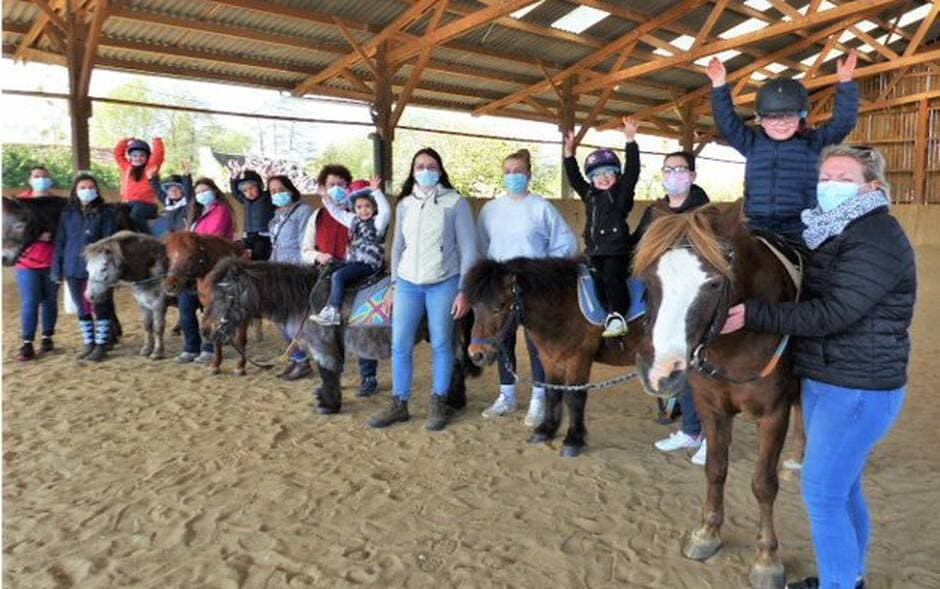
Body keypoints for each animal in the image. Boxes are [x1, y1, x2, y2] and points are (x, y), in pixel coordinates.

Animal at [163, 232, 248, 374]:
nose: (170, 285)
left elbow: (241, 339)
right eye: (169, 256)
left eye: (190, 256)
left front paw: (240, 367)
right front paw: (215, 366)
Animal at [464, 258, 648, 460]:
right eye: (474, 308)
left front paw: (573, 440)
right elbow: (552, 392)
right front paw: (545, 430)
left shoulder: (578, 359)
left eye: (499, 307)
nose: (476, 354)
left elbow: (574, 397)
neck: (565, 306)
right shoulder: (550, 359)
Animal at [632, 203, 800, 588]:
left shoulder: (774, 414)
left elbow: (763, 484)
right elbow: (715, 469)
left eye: (712, 283)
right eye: (648, 279)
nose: (661, 372)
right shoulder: (712, 408)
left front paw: (767, 558)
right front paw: (707, 533)